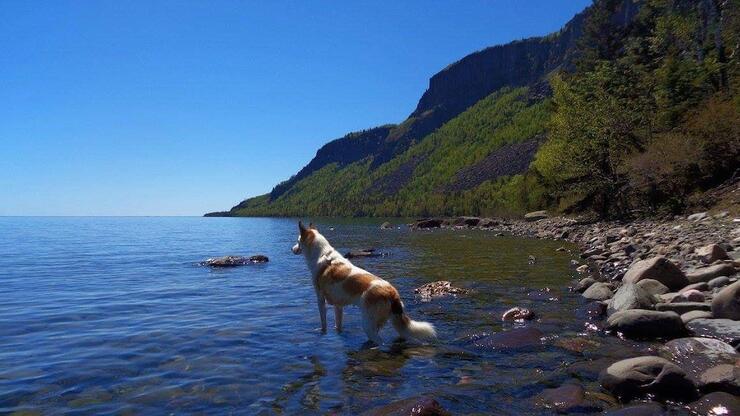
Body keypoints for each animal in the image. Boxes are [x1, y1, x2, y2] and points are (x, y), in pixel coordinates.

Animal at [292, 221, 436, 344]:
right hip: (393, 323)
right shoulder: (338, 305)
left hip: (368, 324)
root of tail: (392, 293)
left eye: (298, 241)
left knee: (379, 342)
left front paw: (322, 332)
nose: (292, 249)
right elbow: (338, 325)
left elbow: (323, 323)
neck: (322, 254)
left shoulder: (320, 299)